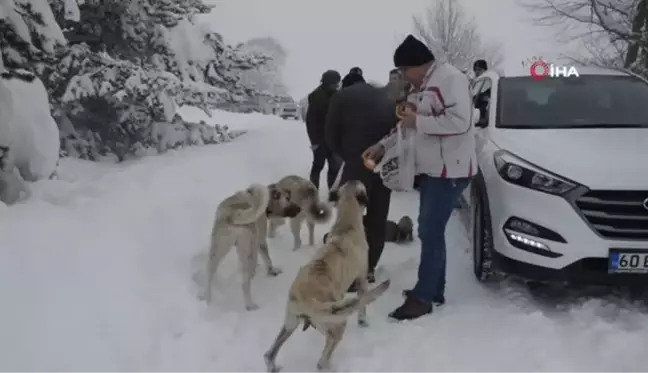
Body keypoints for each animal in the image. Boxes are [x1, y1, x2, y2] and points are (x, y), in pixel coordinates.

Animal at [264, 179, 390, 370]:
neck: (346, 225)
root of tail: (307, 300)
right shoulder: (362, 278)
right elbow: (363, 304)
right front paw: (363, 321)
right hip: (336, 324)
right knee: (322, 360)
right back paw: (329, 365)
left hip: (290, 323)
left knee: (269, 354)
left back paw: (273, 366)